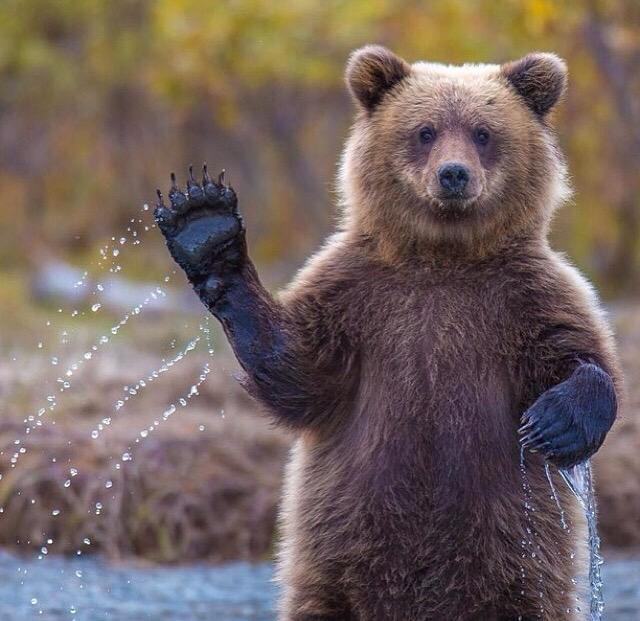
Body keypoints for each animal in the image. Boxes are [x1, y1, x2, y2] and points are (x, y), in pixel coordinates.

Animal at [153, 46, 620, 620]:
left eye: (483, 132)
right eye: (425, 130)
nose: (453, 175)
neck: (443, 256)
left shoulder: (524, 295)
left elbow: (579, 353)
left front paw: (555, 422)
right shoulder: (359, 295)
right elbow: (299, 371)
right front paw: (204, 224)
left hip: (519, 568)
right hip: (333, 562)